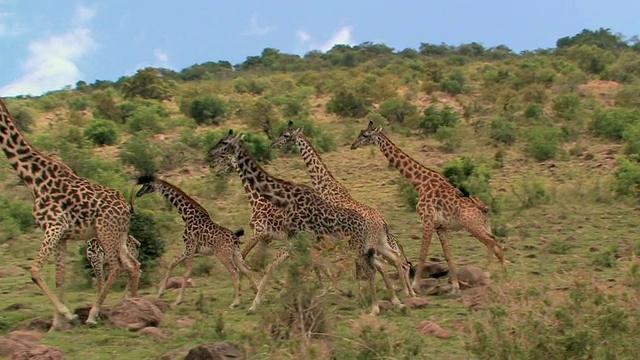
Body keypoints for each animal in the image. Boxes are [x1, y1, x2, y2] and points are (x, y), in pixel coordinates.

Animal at [0, 97, 139, 328]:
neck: (33, 178)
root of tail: (126, 208)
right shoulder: (62, 235)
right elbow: (59, 277)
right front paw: (57, 324)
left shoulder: (54, 227)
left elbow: (35, 270)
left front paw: (68, 315)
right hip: (118, 236)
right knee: (132, 266)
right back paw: (136, 304)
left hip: (105, 233)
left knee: (116, 268)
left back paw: (93, 315)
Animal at [135, 176, 258, 308]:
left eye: (146, 184)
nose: (138, 193)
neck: (186, 214)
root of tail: (235, 239)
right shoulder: (190, 248)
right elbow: (172, 263)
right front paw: (160, 293)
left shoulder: (190, 245)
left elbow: (186, 272)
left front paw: (179, 300)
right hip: (235, 253)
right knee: (247, 269)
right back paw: (256, 292)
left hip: (222, 254)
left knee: (235, 272)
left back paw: (235, 302)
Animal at [268, 121, 416, 298]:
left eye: (286, 135)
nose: (273, 144)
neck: (325, 186)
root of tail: (383, 222)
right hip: (376, 243)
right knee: (397, 261)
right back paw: (407, 292)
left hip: (370, 243)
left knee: (392, 262)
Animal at [350, 121, 504, 292]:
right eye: (361, 133)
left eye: (365, 135)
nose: (353, 145)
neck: (419, 182)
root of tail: (485, 208)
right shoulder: (440, 226)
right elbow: (448, 255)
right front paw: (455, 286)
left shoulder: (427, 220)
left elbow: (423, 253)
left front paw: (415, 285)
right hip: (484, 225)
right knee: (495, 243)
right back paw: (499, 274)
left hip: (471, 225)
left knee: (492, 242)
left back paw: (491, 273)